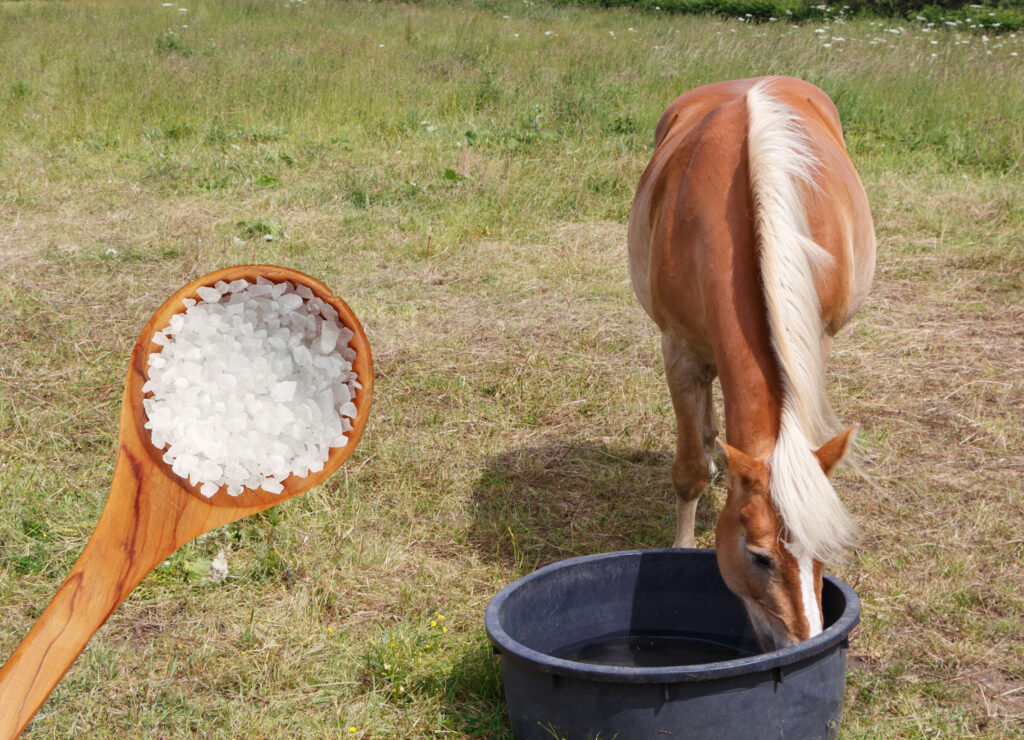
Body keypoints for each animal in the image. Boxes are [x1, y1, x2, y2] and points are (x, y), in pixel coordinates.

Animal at [626, 78, 876, 650]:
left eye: (825, 550)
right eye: (758, 556)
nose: (803, 644)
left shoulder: (817, 341)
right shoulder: (680, 352)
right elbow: (690, 471)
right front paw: (680, 549)